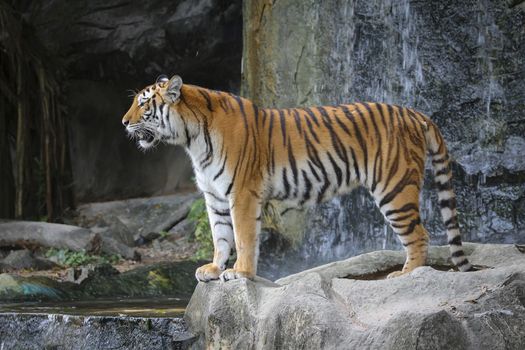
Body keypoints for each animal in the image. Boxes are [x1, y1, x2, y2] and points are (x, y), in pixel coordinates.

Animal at [121, 74, 472, 282]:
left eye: (143, 103)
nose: (123, 122)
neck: (191, 139)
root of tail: (415, 112)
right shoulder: (215, 197)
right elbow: (221, 236)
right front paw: (214, 269)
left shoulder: (242, 194)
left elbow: (244, 237)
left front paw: (240, 272)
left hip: (394, 188)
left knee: (421, 235)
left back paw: (405, 275)